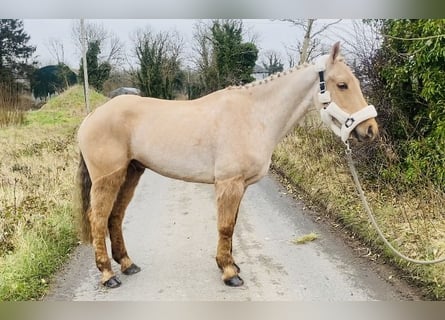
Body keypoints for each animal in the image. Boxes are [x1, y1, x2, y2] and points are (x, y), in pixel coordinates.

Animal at [78, 41, 376, 288]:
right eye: (342, 84)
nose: (370, 129)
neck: (254, 115)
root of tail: (92, 116)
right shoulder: (229, 183)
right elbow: (225, 226)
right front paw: (230, 274)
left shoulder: (240, 186)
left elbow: (232, 224)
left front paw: (231, 264)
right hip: (108, 178)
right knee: (98, 219)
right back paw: (108, 275)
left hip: (131, 172)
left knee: (115, 217)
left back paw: (127, 264)